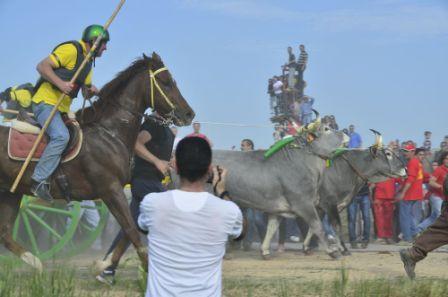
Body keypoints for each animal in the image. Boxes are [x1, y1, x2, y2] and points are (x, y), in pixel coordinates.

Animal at [0, 52, 195, 270]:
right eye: (165, 81)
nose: (189, 113)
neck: (109, 132)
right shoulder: (111, 190)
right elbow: (131, 230)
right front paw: (144, 269)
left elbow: (130, 230)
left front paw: (105, 263)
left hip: (11, 192)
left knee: (5, 233)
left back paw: (35, 263)